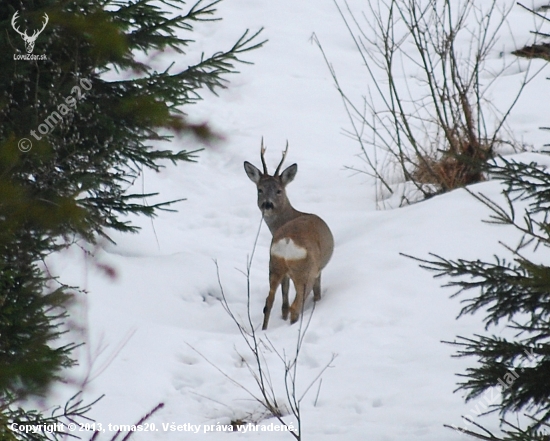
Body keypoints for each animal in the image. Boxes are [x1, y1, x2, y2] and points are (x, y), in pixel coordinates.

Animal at [246, 139, 336, 328]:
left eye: (279, 190)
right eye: (260, 189)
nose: (267, 204)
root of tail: (287, 242)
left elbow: (283, 302)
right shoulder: (318, 270)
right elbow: (316, 294)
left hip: (274, 266)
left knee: (269, 302)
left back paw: (264, 330)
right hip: (306, 271)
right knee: (297, 304)